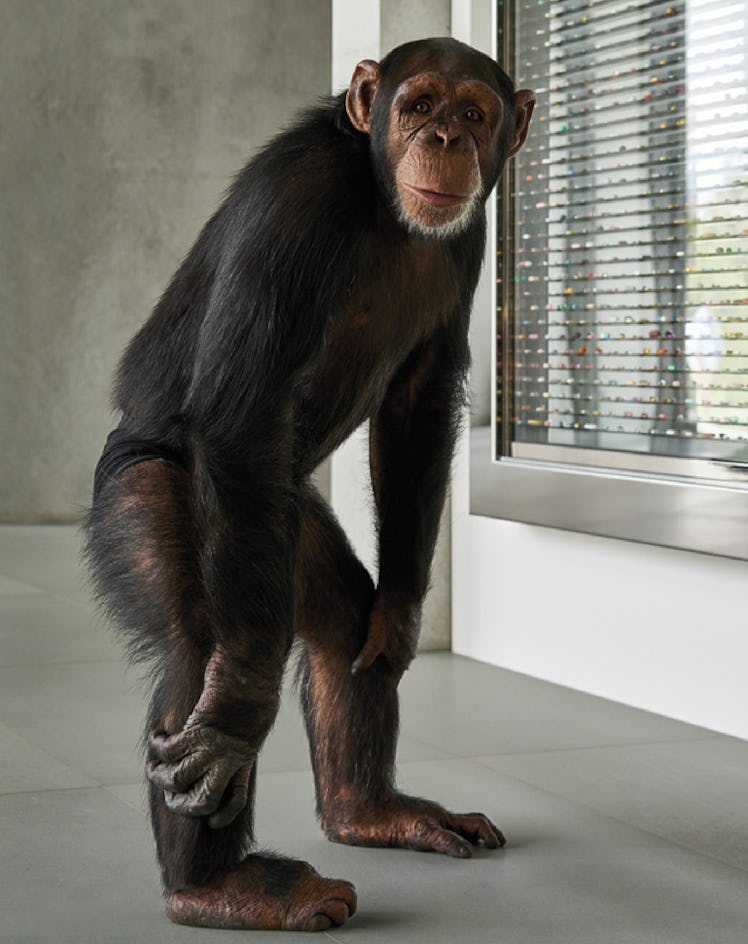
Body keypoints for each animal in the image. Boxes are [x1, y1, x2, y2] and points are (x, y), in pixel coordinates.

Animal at [86, 37, 532, 936]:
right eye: (417, 103)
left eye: (474, 113)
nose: (442, 138)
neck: (378, 201)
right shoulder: (293, 203)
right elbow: (243, 410)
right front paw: (232, 717)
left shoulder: (470, 238)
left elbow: (417, 403)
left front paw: (402, 613)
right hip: (158, 493)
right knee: (197, 639)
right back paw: (218, 885)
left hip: (281, 528)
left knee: (335, 621)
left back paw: (371, 810)